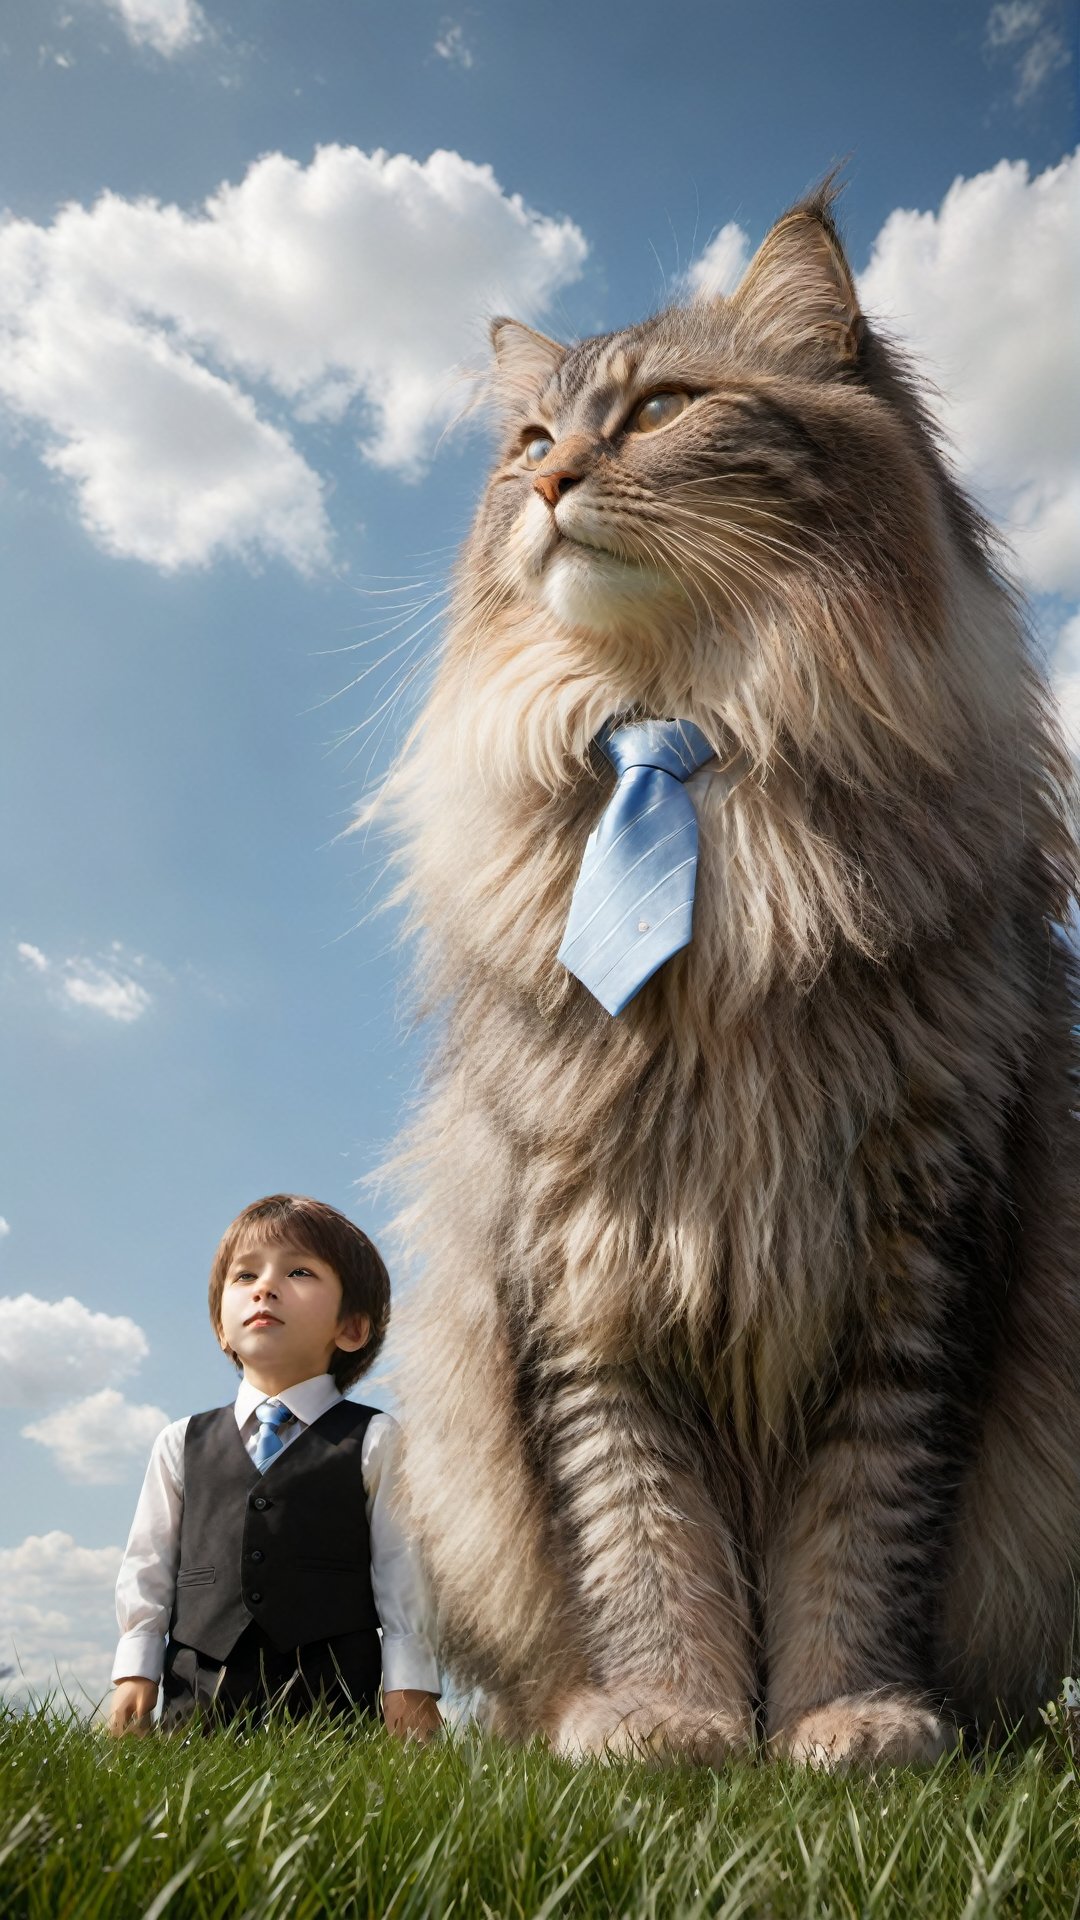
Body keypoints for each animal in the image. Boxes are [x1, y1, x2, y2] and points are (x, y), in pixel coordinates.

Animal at [378, 187, 1076, 1758]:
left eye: (659, 411)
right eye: (529, 439)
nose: (551, 478)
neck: (686, 738)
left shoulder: (914, 1261)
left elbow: (860, 1549)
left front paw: (850, 1726)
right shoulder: (582, 1271)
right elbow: (642, 1543)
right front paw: (668, 1723)